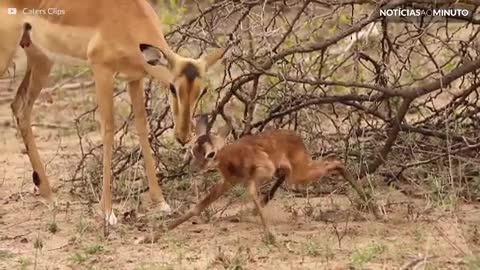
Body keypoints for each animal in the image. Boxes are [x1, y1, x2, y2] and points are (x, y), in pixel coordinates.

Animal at [167, 115, 344, 233]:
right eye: (192, 150)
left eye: (211, 154)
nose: (194, 168)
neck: (231, 158)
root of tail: (297, 137)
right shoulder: (227, 182)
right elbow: (199, 206)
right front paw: (165, 228)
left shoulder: (263, 172)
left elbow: (252, 194)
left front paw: (270, 234)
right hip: (294, 173)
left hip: (300, 174)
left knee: (335, 163)